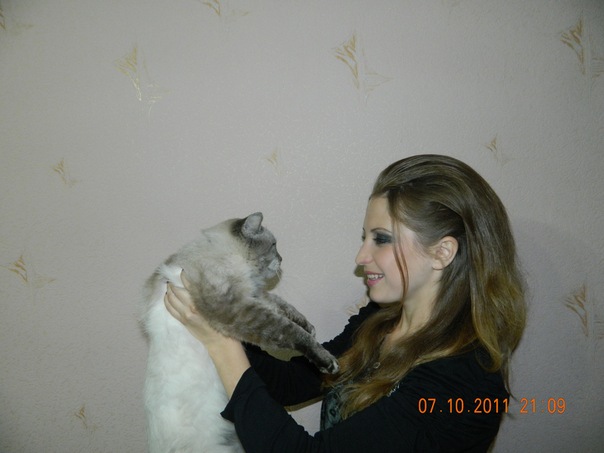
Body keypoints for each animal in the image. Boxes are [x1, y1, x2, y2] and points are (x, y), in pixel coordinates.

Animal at [141, 212, 339, 453]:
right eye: (274, 245)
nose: (282, 259)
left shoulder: (252, 295)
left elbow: (284, 307)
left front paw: (309, 326)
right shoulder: (238, 307)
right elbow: (288, 329)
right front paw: (326, 360)